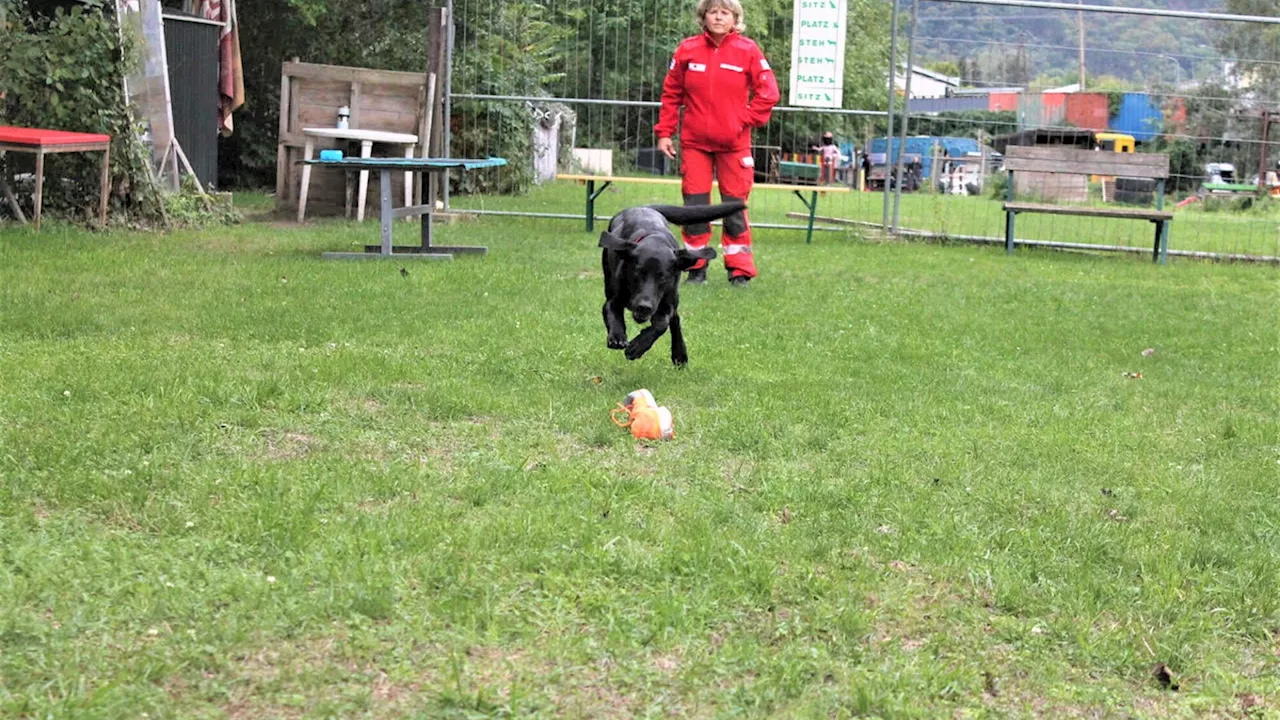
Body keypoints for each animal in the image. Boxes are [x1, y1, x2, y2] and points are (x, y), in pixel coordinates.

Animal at [601, 199, 747, 363]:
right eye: (637, 273)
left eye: (663, 277)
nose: (644, 307)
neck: (655, 239)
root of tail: (643, 207)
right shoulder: (612, 299)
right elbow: (613, 313)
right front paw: (618, 337)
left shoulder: (666, 303)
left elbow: (662, 324)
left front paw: (638, 347)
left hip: (674, 297)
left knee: (675, 319)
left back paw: (680, 353)